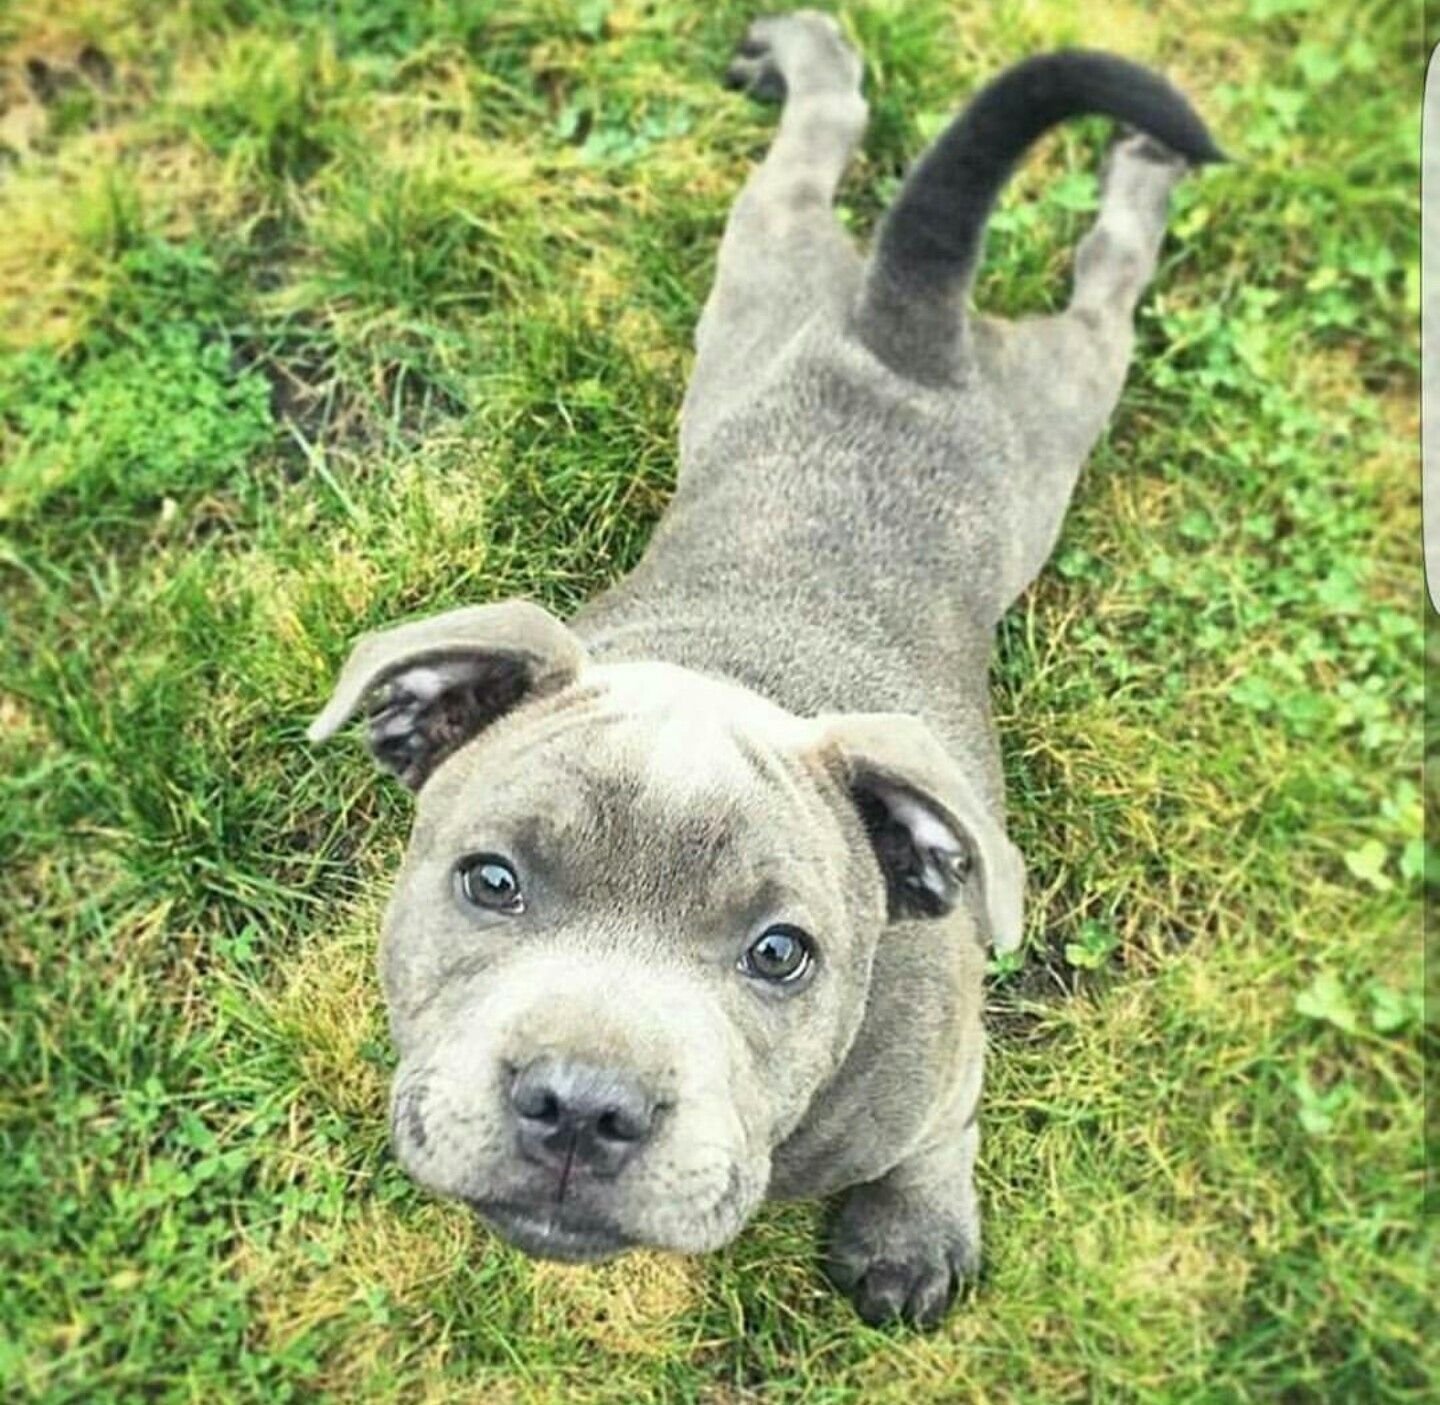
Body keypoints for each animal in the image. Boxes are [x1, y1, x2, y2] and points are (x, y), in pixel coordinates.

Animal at [307, 11, 1221, 1327]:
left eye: (779, 954)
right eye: (491, 881)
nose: (582, 1103)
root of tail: (904, 328)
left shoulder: (943, 1061)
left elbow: (942, 1131)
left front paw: (909, 1235)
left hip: (1056, 397)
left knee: (1102, 281)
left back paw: (1138, 174)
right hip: (765, 275)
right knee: (813, 156)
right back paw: (810, 62)